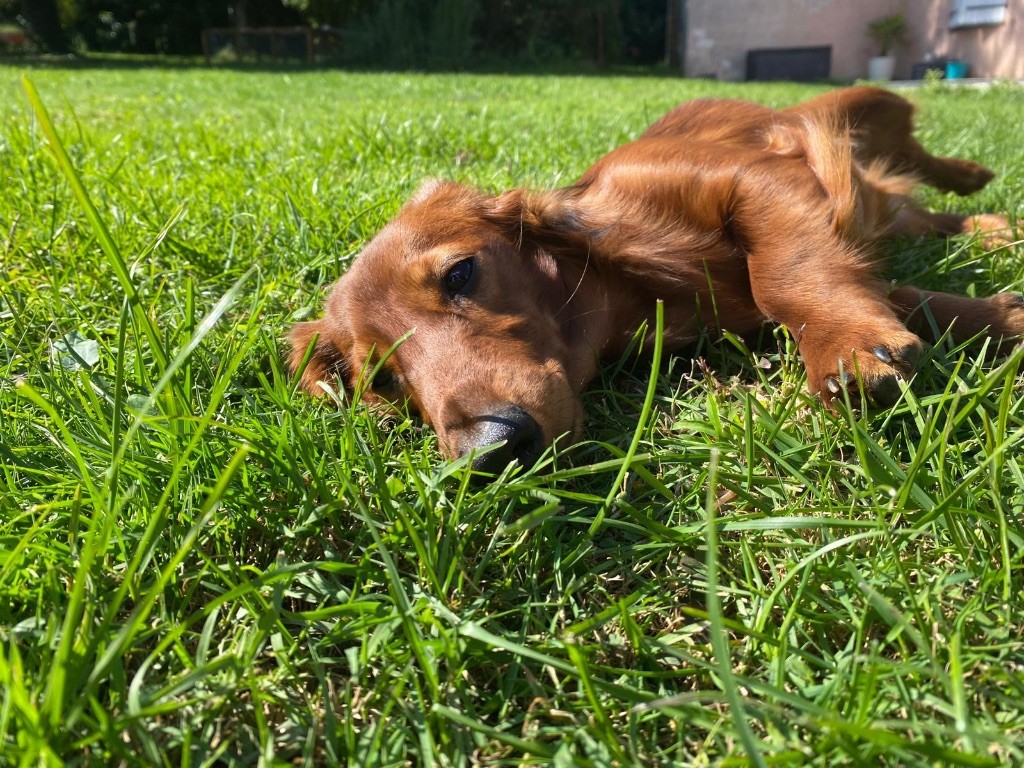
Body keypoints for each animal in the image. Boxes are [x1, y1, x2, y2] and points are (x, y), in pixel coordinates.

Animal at [290, 88, 1024, 475]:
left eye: (460, 272)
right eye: (383, 380)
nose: (487, 453)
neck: (624, 293)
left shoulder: (758, 178)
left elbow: (784, 273)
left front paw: (845, 345)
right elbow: (902, 296)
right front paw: (1003, 315)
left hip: (849, 107)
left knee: (912, 150)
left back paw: (974, 180)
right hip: (885, 202)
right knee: (915, 211)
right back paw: (993, 229)